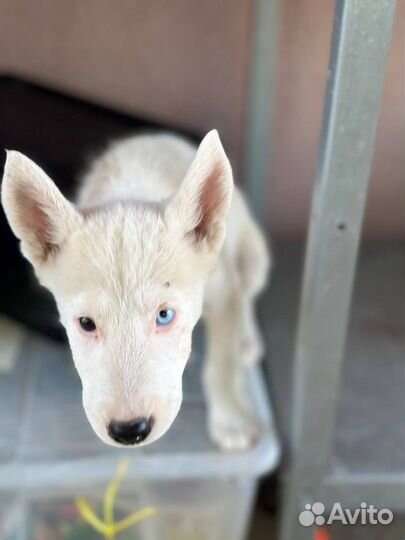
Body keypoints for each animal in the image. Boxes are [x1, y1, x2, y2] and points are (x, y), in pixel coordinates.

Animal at [2, 132, 272, 452]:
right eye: (86, 324)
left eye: (165, 315)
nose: (130, 431)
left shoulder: (222, 289)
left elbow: (222, 363)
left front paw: (231, 421)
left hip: (253, 256)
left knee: (248, 296)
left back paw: (247, 339)